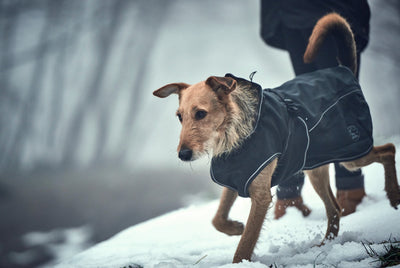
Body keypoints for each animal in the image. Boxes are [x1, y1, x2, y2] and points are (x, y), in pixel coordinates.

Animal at [152, 13, 398, 264]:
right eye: (180, 117)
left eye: (200, 114)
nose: (183, 154)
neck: (233, 137)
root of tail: (343, 70)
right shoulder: (235, 181)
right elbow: (217, 218)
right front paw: (235, 227)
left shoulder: (260, 196)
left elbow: (244, 246)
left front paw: (240, 254)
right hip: (315, 168)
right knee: (335, 209)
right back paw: (325, 245)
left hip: (352, 154)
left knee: (388, 149)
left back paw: (394, 196)